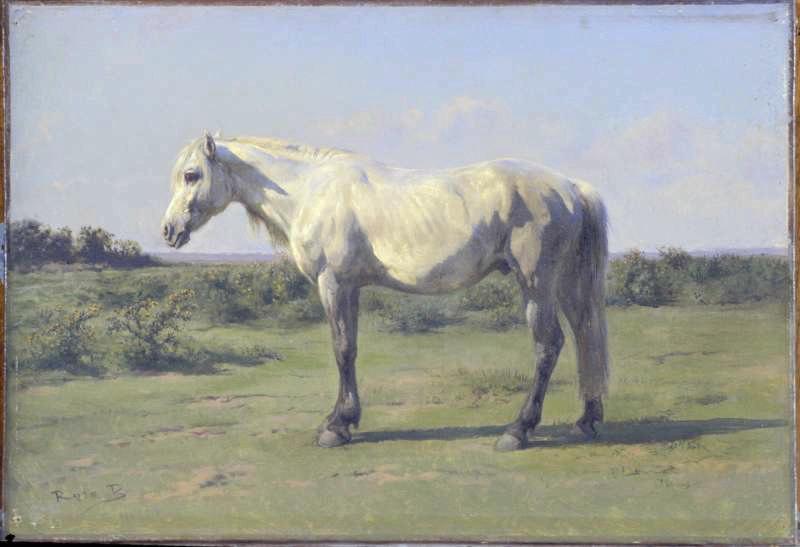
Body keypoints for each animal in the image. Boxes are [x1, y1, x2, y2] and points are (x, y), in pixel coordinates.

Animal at [161, 132, 609, 451]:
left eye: (191, 175)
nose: (168, 231)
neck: (309, 191)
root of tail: (570, 186)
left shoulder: (334, 283)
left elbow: (342, 350)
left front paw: (336, 427)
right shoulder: (350, 288)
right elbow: (350, 348)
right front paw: (344, 420)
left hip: (536, 283)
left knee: (549, 345)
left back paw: (518, 431)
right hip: (565, 283)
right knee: (585, 334)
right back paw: (586, 420)